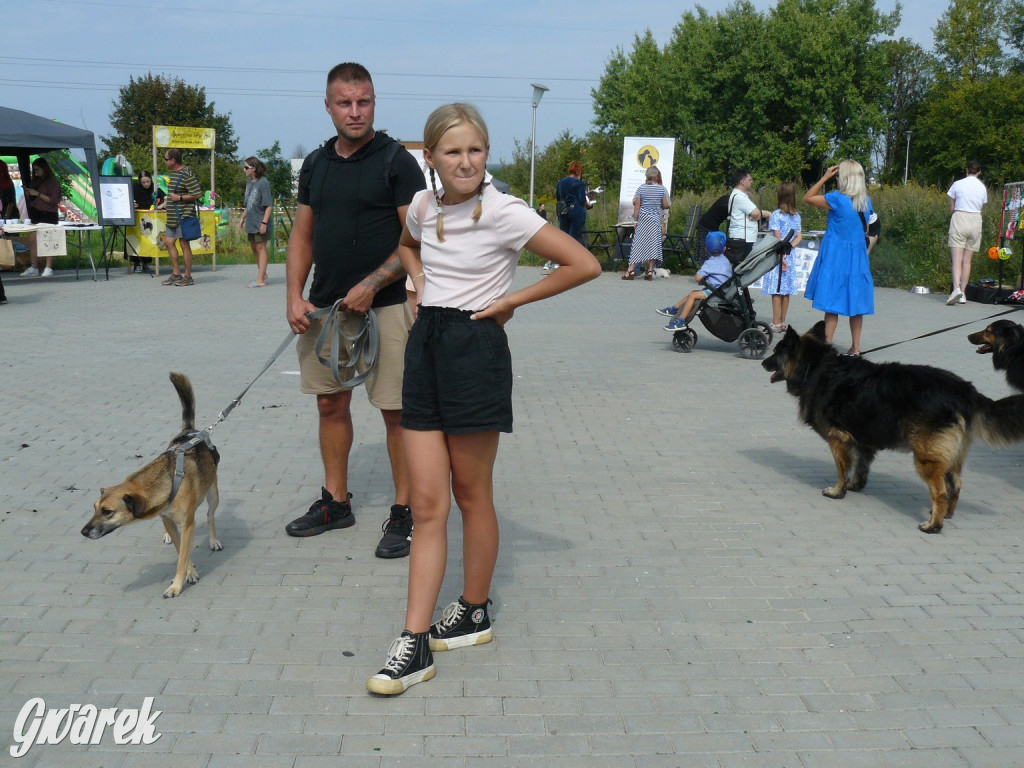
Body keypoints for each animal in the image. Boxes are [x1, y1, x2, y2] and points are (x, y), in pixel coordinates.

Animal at [82, 374, 222, 602]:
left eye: (107, 512)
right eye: (94, 509)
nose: (83, 531)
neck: (168, 481)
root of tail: (189, 431)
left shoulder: (187, 525)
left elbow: (182, 557)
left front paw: (177, 585)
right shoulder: (170, 520)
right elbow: (181, 551)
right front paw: (190, 571)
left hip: (213, 494)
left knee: (210, 515)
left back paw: (214, 540)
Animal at [765, 321, 1024, 532]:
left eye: (776, 352)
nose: (762, 362)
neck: (816, 365)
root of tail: (963, 390)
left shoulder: (838, 440)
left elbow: (842, 469)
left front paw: (838, 491)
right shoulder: (862, 440)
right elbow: (861, 465)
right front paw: (856, 485)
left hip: (926, 457)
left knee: (940, 493)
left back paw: (933, 525)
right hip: (949, 456)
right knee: (955, 485)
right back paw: (946, 515)